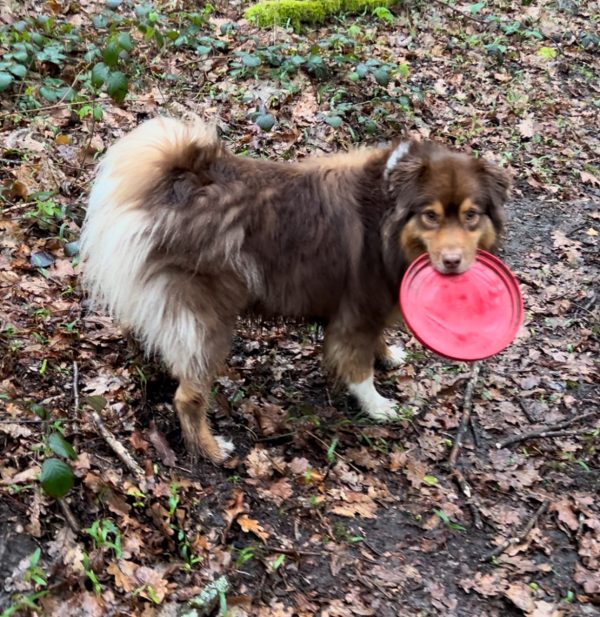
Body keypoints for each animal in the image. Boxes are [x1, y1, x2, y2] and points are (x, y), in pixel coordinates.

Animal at [81, 116, 510, 462]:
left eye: (471, 216)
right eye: (430, 216)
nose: (453, 262)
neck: (389, 214)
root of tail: (177, 183)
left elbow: (377, 341)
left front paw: (388, 355)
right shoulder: (356, 313)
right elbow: (358, 368)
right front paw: (378, 406)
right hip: (208, 322)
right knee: (188, 397)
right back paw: (212, 450)